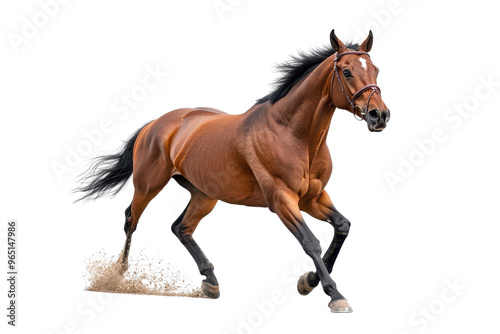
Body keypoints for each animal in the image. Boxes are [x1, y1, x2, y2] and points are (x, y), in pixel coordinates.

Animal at [77, 29, 390, 314]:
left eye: (375, 70)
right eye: (347, 72)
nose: (380, 115)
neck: (292, 134)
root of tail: (155, 124)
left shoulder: (312, 198)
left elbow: (342, 226)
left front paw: (309, 281)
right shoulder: (282, 200)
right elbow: (311, 242)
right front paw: (334, 294)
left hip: (204, 195)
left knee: (181, 227)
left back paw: (211, 282)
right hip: (148, 185)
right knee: (131, 220)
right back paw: (118, 276)